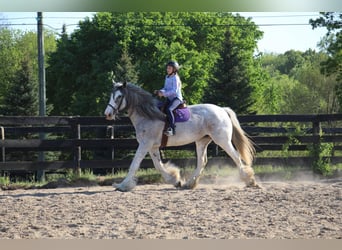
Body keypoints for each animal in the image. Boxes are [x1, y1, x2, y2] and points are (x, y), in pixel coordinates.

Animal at [104, 82, 260, 191]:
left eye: (119, 97)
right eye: (111, 96)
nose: (108, 114)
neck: (148, 114)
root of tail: (222, 109)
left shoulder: (145, 144)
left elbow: (134, 164)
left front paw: (122, 186)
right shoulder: (152, 147)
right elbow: (158, 165)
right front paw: (175, 180)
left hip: (222, 140)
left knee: (236, 157)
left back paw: (250, 181)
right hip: (201, 141)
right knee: (202, 162)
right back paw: (189, 184)